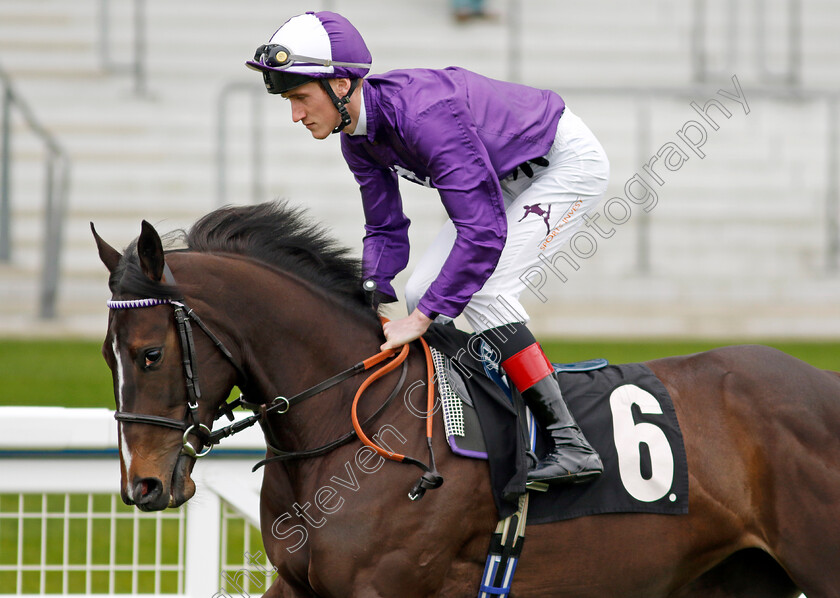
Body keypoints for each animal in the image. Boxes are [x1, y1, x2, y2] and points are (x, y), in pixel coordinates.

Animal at [93, 204, 840, 596]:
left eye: (150, 353)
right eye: (107, 356)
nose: (143, 485)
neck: (355, 420)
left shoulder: (383, 587)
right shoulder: (299, 585)